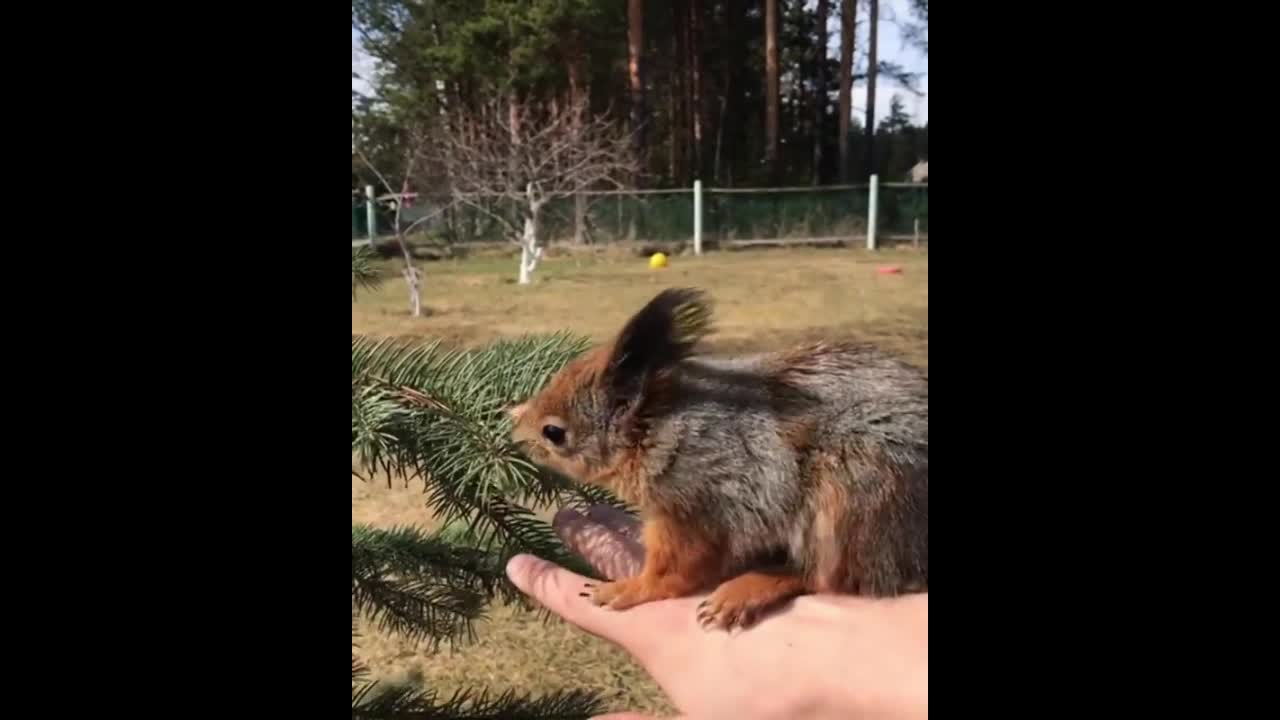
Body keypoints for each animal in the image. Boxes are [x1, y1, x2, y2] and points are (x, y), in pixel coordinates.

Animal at [509, 285, 931, 627]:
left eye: (554, 432)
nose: (518, 439)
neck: (660, 427)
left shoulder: (694, 506)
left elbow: (673, 570)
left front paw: (630, 589)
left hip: (854, 498)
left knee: (829, 579)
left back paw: (747, 589)